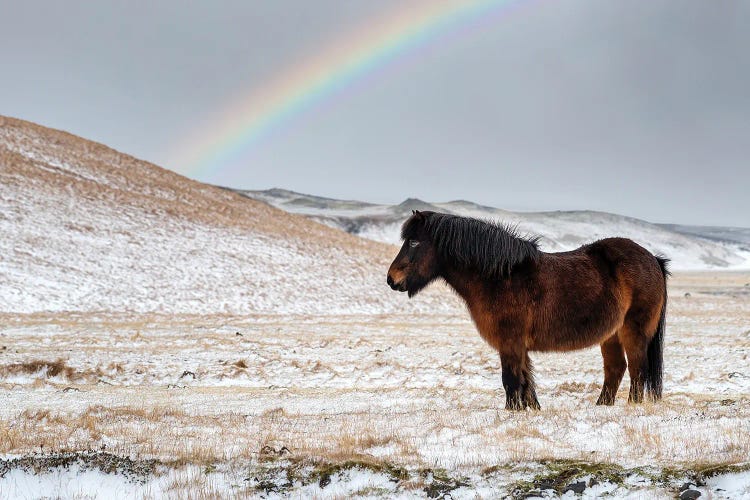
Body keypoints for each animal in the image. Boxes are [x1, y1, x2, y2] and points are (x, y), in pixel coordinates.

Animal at [388, 211, 668, 410]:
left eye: (414, 242)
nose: (392, 279)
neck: (501, 277)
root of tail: (653, 259)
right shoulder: (517, 344)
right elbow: (526, 378)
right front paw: (532, 408)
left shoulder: (510, 342)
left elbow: (511, 379)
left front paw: (513, 411)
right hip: (610, 335)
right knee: (616, 369)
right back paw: (601, 407)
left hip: (633, 331)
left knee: (637, 369)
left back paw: (632, 406)